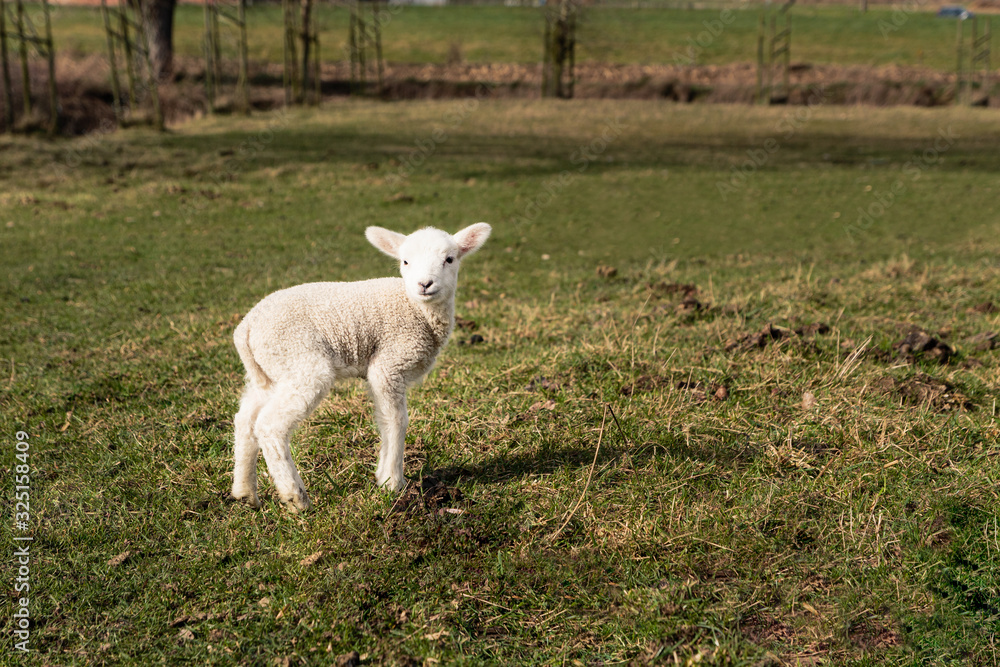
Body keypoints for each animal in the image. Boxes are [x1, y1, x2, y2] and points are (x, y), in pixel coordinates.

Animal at [228, 222, 492, 516]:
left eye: (450, 259)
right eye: (405, 261)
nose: (425, 284)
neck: (416, 309)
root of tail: (246, 328)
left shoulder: (382, 371)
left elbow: (384, 420)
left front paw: (383, 475)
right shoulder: (389, 364)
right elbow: (397, 420)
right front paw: (393, 482)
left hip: (269, 372)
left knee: (245, 420)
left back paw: (244, 492)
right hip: (300, 361)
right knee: (269, 425)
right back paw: (294, 495)